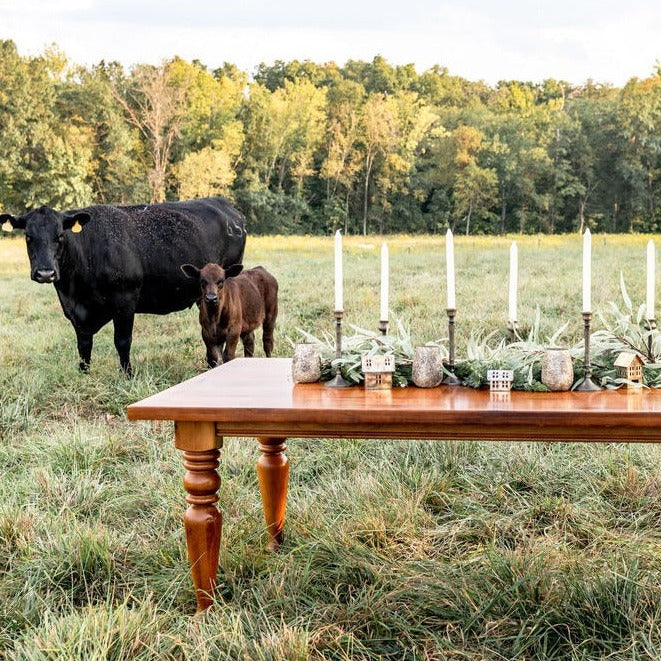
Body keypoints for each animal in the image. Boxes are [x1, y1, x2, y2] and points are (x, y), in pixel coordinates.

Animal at [1, 196, 246, 374]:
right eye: (28, 236)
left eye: (60, 235)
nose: (45, 272)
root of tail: (225, 205)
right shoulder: (74, 311)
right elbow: (83, 346)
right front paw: (84, 374)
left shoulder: (125, 301)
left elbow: (122, 341)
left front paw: (127, 375)